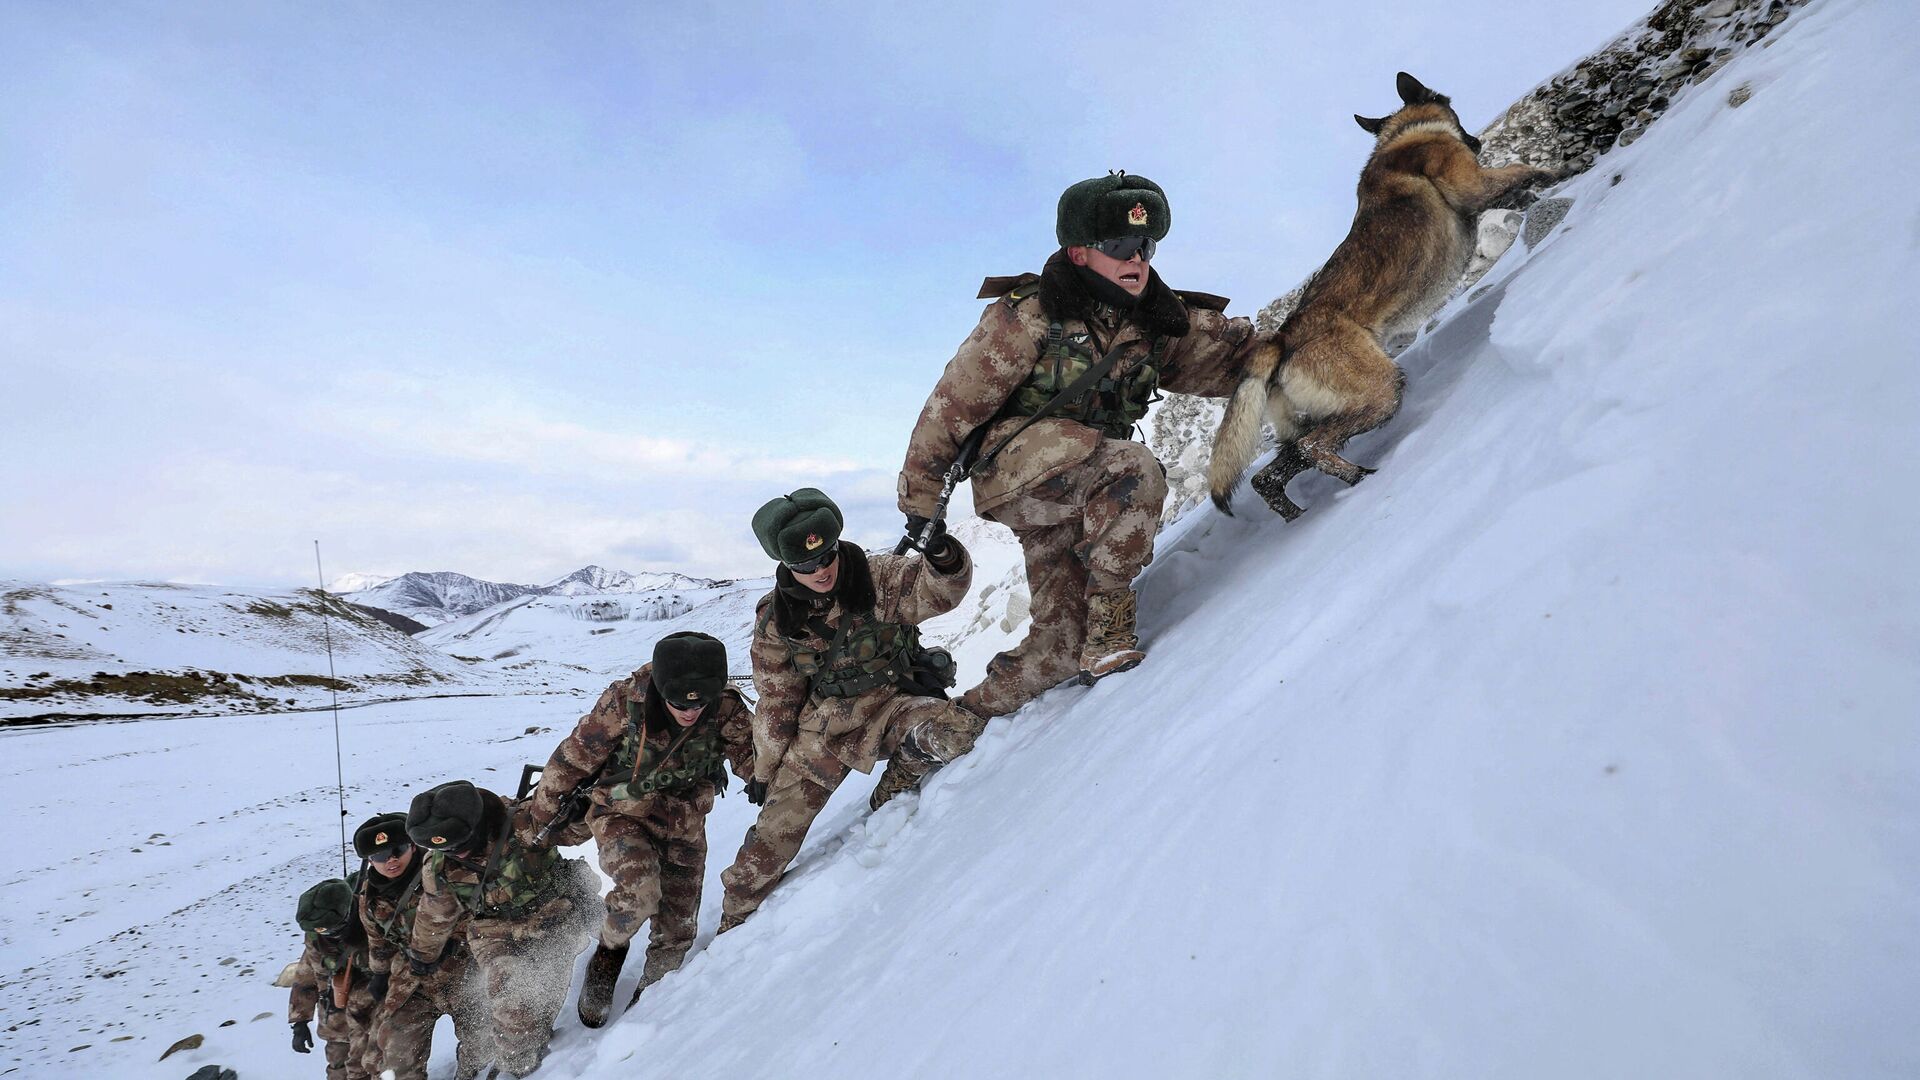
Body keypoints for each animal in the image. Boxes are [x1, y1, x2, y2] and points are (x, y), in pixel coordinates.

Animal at [1213, 71, 1559, 518]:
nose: (1476, 142)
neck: (1401, 136)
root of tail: (1281, 340)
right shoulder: (1472, 184)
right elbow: (1521, 168)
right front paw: (1556, 170)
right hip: (1381, 391)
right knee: (1313, 448)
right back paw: (1362, 481)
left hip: (1316, 419)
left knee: (1269, 475)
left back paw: (1305, 506)